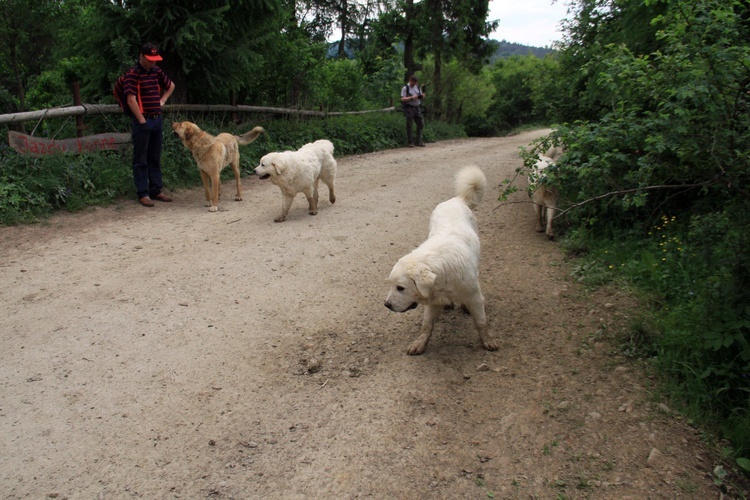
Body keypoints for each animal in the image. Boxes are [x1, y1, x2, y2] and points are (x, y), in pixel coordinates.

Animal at [388, 165, 500, 356]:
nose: (386, 305)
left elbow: (481, 323)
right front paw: (420, 343)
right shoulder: (432, 302)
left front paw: (487, 340)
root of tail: (457, 199)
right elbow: (427, 325)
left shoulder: (475, 297)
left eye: (400, 288)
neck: (443, 276)